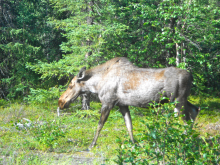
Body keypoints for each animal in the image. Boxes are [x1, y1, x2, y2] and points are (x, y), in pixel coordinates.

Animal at [58, 57, 199, 148]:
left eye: (70, 85)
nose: (60, 102)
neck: (97, 85)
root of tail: (191, 76)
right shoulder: (122, 104)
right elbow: (129, 125)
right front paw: (133, 143)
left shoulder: (108, 103)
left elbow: (99, 125)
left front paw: (92, 144)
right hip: (181, 100)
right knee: (195, 110)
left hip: (177, 101)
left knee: (185, 121)